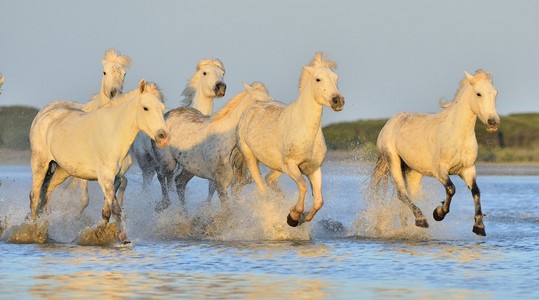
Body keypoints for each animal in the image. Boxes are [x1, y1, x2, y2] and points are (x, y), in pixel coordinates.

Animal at [27, 80, 170, 241]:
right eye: (146, 108)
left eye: (162, 108)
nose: (163, 137)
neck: (114, 134)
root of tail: (42, 115)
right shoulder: (105, 178)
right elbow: (116, 208)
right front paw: (122, 237)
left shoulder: (117, 178)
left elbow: (106, 210)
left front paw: (99, 233)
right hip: (40, 163)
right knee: (35, 195)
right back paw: (33, 229)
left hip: (62, 170)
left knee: (46, 190)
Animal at [154, 82, 272, 213]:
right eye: (260, 102)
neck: (227, 140)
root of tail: (166, 115)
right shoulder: (220, 184)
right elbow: (227, 209)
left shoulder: (236, 185)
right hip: (168, 163)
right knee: (162, 176)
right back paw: (164, 204)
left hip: (190, 168)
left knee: (179, 182)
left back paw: (185, 214)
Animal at [236, 53, 346, 227]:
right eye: (318, 79)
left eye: (336, 78)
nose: (338, 101)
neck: (305, 130)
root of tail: (257, 103)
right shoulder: (291, 165)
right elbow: (303, 186)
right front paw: (293, 217)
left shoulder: (314, 168)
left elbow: (319, 201)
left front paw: (302, 217)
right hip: (250, 157)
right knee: (263, 189)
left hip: (277, 166)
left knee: (270, 180)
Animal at [372, 71, 502, 237]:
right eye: (478, 93)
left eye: (495, 93)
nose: (493, 122)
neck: (457, 134)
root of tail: (390, 122)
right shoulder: (440, 170)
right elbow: (451, 189)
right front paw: (438, 213)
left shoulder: (468, 169)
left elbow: (476, 192)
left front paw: (479, 226)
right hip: (392, 160)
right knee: (401, 193)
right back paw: (421, 219)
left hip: (413, 171)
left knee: (409, 195)